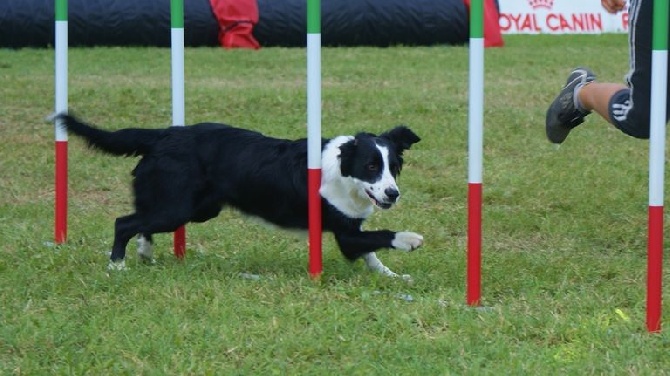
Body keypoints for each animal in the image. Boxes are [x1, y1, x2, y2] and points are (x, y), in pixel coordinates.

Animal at [52, 113, 422, 278]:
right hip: (176, 208)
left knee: (141, 220)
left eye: (393, 167)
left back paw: (144, 252)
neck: (343, 170)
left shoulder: (352, 228)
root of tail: (163, 135)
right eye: (371, 166)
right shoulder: (344, 231)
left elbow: (370, 251)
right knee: (124, 222)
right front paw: (410, 239)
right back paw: (117, 265)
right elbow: (380, 236)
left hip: (196, 208)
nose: (393, 194)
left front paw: (390, 275)